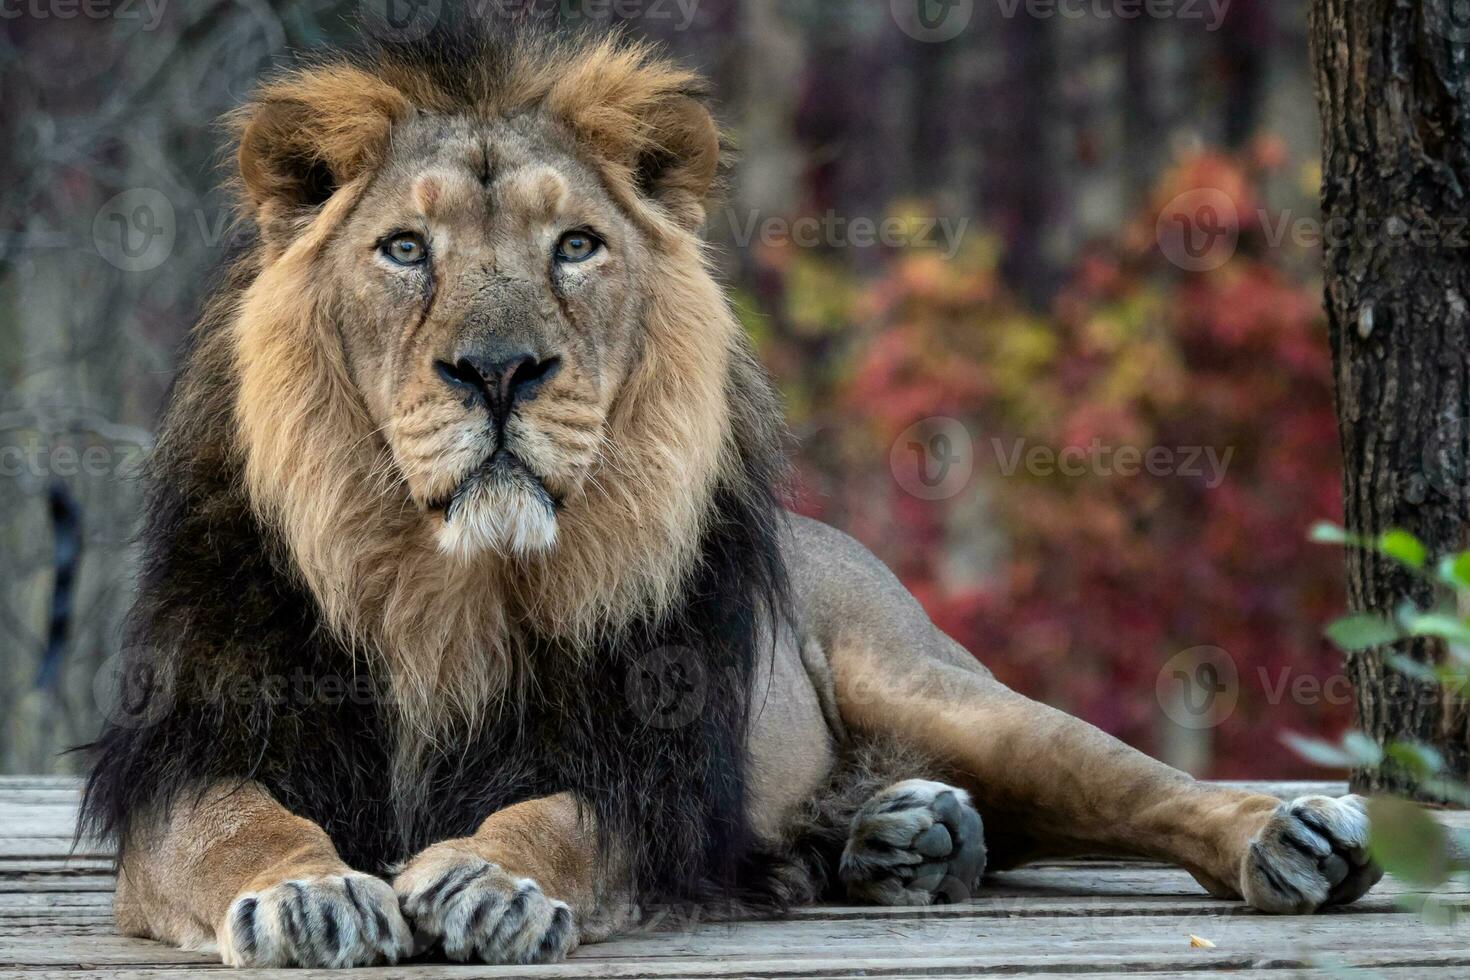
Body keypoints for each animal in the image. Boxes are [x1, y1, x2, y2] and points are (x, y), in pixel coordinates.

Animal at [80, 19, 1381, 969]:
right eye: (404, 249)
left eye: (576, 245)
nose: (498, 369)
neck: (441, 586)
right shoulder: (191, 753)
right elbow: (240, 822)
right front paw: (307, 893)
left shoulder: (646, 768)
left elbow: (564, 816)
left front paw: (494, 878)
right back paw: (908, 837)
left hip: (937, 684)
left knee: (1138, 784)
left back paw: (1288, 833)